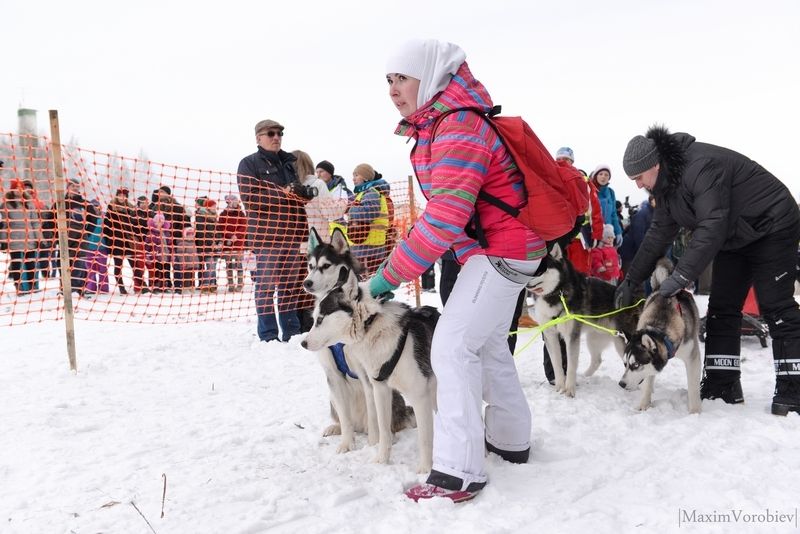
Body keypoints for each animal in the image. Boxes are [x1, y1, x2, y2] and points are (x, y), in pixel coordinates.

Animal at [300, 268, 438, 474]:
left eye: (320, 319)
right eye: (314, 318)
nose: (303, 343)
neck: (371, 324)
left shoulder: (420, 396)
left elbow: (424, 438)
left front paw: (425, 469)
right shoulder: (380, 389)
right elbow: (382, 429)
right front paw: (381, 460)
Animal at [302, 228, 412, 454]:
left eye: (326, 266)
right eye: (310, 266)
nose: (306, 283)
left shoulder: (367, 375)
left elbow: (374, 415)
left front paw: (373, 444)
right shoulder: (333, 375)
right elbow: (345, 419)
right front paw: (346, 444)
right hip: (332, 398)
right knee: (346, 419)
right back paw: (336, 428)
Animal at [528, 246, 640, 398]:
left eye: (541, 270)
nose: (525, 282)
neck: (556, 293)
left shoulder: (571, 336)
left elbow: (571, 365)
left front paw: (569, 389)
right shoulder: (550, 334)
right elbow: (557, 364)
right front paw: (559, 387)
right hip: (595, 339)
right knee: (597, 360)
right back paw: (585, 376)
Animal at [620, 258, 700, 414]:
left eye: (636, 365)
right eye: (625, 364)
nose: (621, 384)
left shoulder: (692, 357)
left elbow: (693, 388)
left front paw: (695, 412)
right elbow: (648, 379)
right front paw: (644, 404)